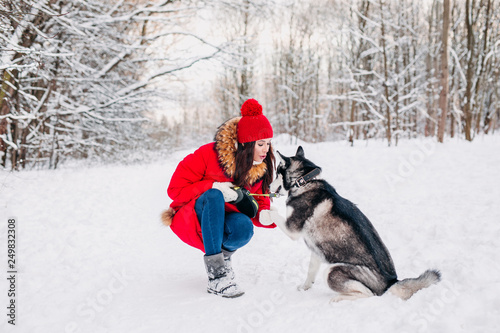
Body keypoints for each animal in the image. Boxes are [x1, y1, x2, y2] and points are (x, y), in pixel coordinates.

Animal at [272, 146, 440, 300]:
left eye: (276, 173)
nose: (268, 187)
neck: (304, 181)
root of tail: (390, 282)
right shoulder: (316, 249)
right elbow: (310, 271)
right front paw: (305, 287)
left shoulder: (291, 229)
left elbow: (273, 214)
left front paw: (266, 209)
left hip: (333, 271)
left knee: (368, 294)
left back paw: (338, 298)